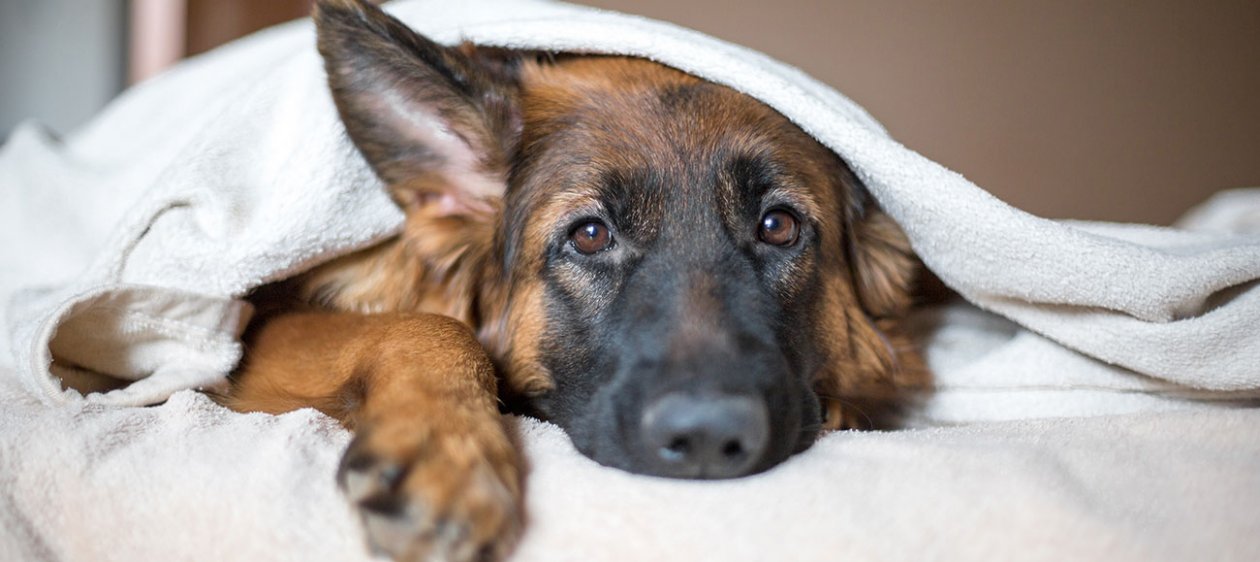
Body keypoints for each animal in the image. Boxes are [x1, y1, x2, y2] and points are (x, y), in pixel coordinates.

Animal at [221, 1, 922, 562]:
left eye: (778, 226)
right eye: (589, 235)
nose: (706, 437)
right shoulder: (258, 338)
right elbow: (430, 324)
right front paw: (446, 448)